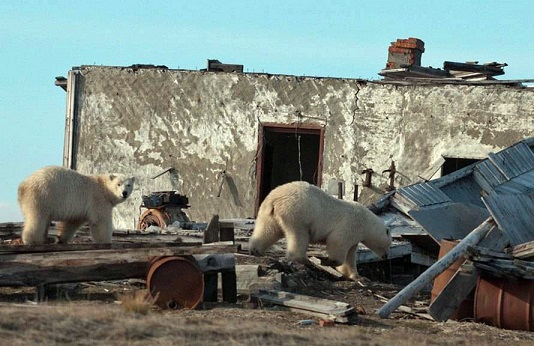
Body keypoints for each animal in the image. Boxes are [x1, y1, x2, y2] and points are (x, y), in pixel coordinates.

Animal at [251, 182, 394, 280]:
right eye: (389, 244)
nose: (386, 256)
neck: (366, 222)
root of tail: (275, 199)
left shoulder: (355, 237)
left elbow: (350, 255)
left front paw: (357, 276)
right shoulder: (350, 225)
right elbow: (337, 242)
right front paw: (328, 261)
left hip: (268, 212)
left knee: (267, 230)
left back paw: (255, 249)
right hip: (298, 213)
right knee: (299, 235)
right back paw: (303, 259)